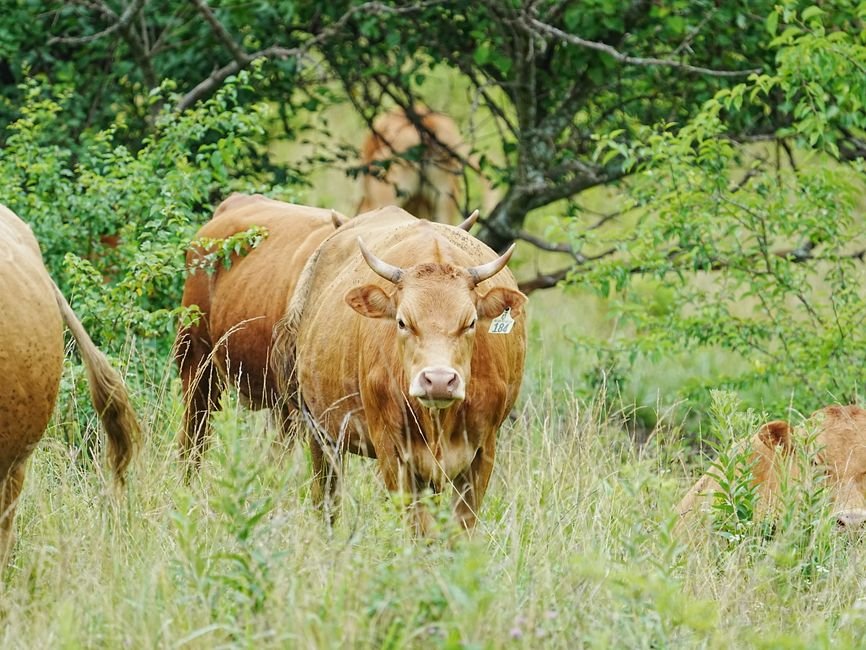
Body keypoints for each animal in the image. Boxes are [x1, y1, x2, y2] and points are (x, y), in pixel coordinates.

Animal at [272, 206, 527, 533]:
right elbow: (419, 528)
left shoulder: (482, 452)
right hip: (320, 431)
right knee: (326, 498)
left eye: (470, 322)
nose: (439, 381)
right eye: (402, 322)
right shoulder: (393, 453)